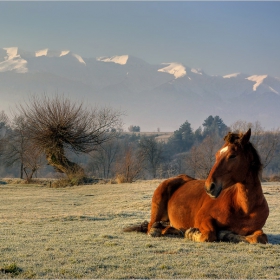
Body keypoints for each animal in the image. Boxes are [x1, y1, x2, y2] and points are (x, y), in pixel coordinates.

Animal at [124, 129, 270, 243]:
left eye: (233, 155)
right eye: (217, 154)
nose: (209, 187)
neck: (244, 208)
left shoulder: (256, 229)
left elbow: (261, 238)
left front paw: (226, 234)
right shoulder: (202, 218)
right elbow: (209, 234)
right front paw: (192, 233)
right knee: (151, 227)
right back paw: (159, 229)